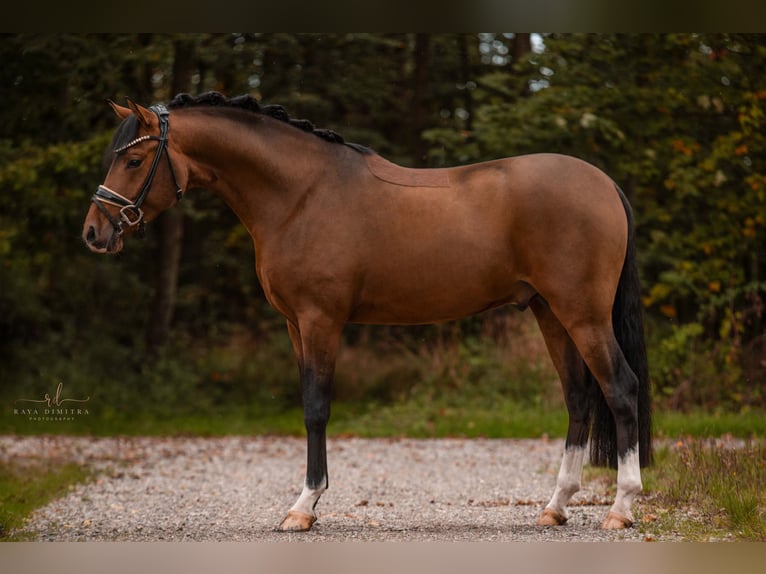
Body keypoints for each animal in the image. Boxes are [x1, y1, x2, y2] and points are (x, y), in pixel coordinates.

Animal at [84, 92, 656, 532]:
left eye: (133, 161)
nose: (94, 232)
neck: (300, 194)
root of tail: (605, 185)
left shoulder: (320, 320)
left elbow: (316, 408)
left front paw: (304, 507)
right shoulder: (295, 325)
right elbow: (308, 404)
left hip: (582, 315)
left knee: (620, 389)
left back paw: (621, 508)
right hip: (549, 312)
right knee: (579, 397)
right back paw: (555, 508)